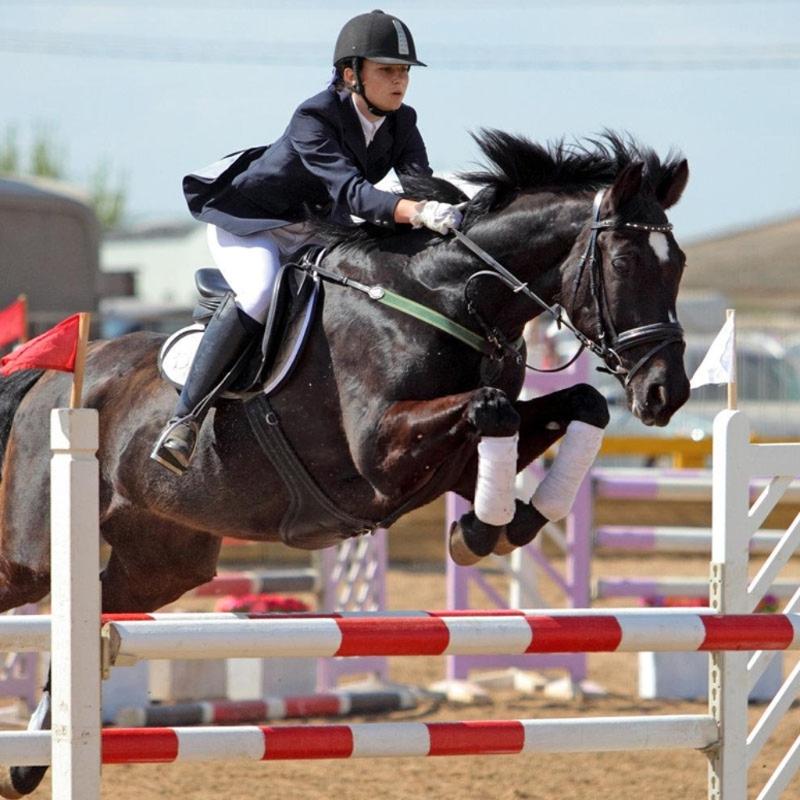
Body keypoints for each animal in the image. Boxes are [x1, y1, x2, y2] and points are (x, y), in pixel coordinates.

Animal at [0, 130, 690, 796]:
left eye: (678, 263)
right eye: (624, 261)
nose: (667, 393)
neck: (452, 299)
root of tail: (49, 380)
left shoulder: (449, 464)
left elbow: (577, 406)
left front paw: (503, 523)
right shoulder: (378, 454)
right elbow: (494, 409)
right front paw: (482, 530)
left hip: (163, 563)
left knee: (96, 611)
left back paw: (32, 759)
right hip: (36, 553)